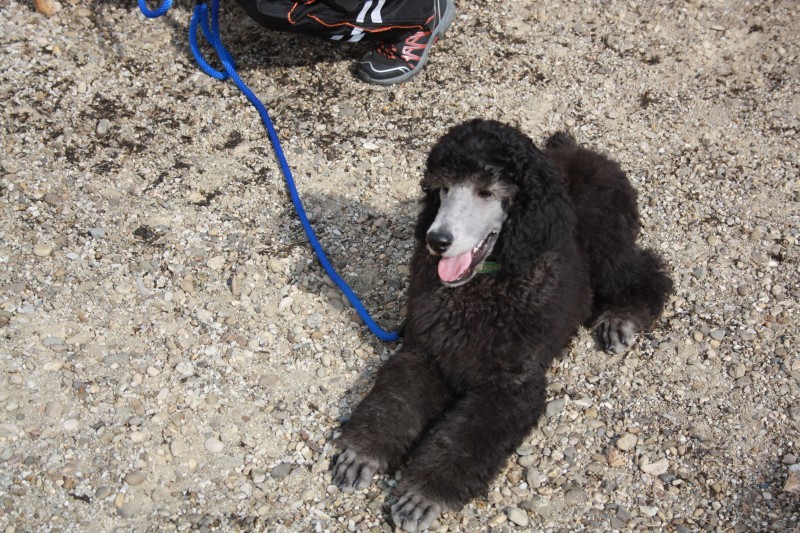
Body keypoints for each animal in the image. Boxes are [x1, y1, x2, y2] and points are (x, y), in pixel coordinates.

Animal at [332, 119, 673, 531]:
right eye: (443, 188)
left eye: (487, 192)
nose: (436, 240)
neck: (484, 286)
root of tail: (578, 149)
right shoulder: (424, 352)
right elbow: (394, 402)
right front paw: (363, 451)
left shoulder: (510, 385)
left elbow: (462, 440)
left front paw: (422, 494)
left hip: (606, 241)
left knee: (647, 272)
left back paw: (621, 318)